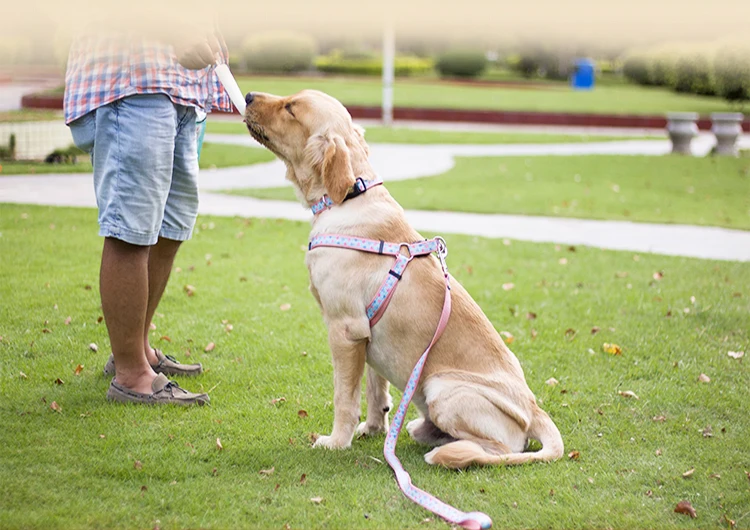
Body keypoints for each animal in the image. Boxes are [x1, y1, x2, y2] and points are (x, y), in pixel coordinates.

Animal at [244, 89, 568, 466]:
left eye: (291, 108)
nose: (247, 95)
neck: (350, 196)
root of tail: (536, 410)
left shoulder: (345, 330)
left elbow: (345, 398)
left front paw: (337, 441)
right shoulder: (368, 334)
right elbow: (374, 390)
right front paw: (374, 429)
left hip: (442, 387)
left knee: (501, 450)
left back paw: (447, 451)